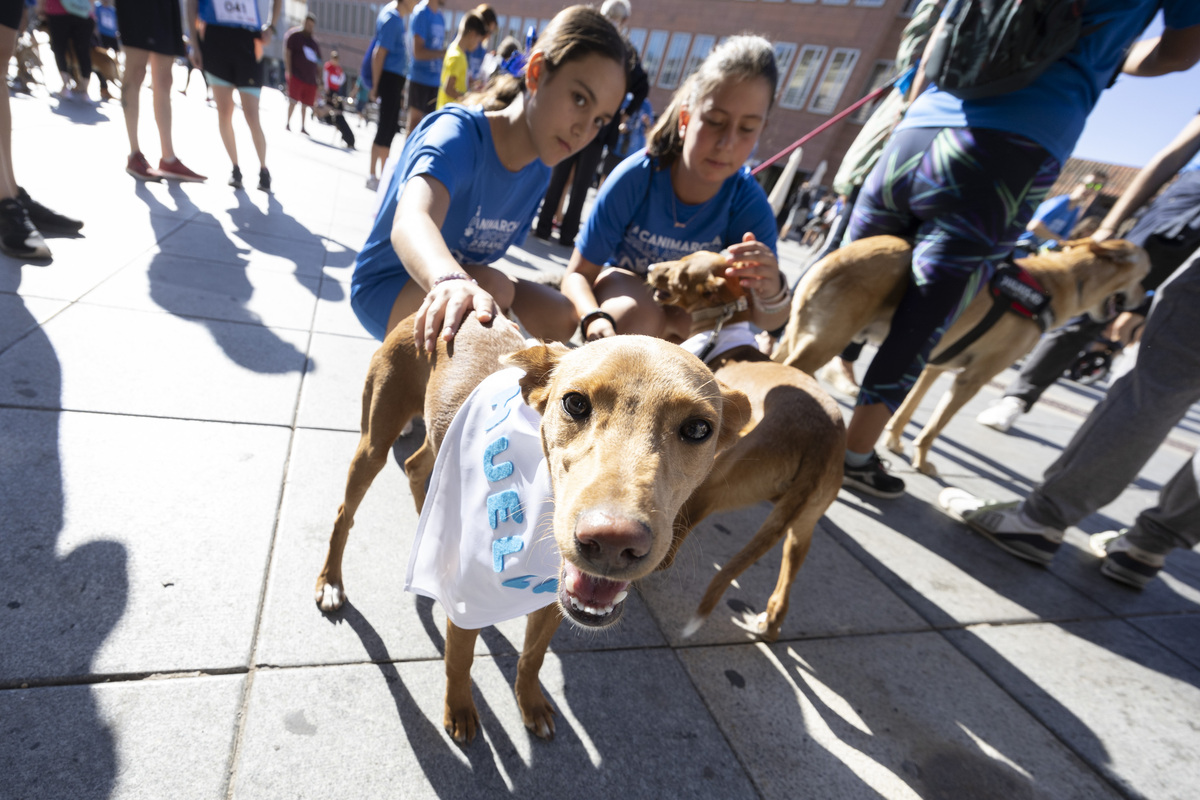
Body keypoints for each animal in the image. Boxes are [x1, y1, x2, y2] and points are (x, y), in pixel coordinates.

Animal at [314, 311, 744, 743]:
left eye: (698, 429)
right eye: (575, 402)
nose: (611, 540)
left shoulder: (551, 601)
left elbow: (532, 657)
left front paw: (530, 702)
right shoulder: (468, 597)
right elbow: (459, 661)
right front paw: (460, 710)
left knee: (416, 466)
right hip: (374, 442)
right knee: (344, 513)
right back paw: (331, 582)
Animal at [648, 253, 844, 642]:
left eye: (679, 270)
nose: (648, 269)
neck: (723, 328)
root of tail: (822, 439)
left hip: (712, 483)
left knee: (671, 549)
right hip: (802, 525)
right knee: (786, 581)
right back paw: (770, 623)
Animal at [772, 235, 1147, 479]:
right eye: (1146, 274)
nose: (1144, 302)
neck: (1056, 284)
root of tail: (836, 257)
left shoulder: (931, 365)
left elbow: (905, 411)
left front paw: (894, 442)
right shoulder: (972, 378)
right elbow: (935, 427)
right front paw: (922, 462)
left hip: (796, 338)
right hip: (825, 342)